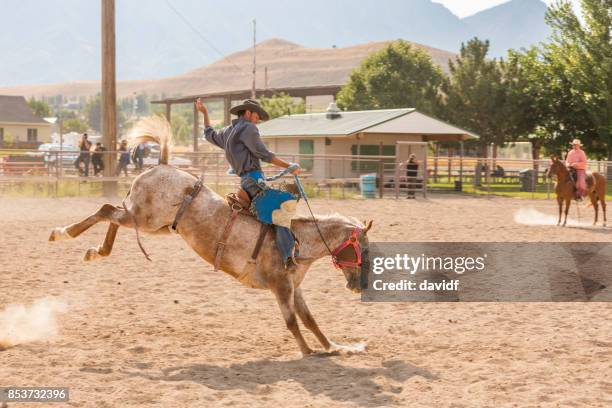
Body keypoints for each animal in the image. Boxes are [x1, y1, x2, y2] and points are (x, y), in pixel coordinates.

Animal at [49, 116, 372, 356]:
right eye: (363, 251)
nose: (359, 286)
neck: (298, 240)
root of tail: (162, 164)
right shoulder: (281, 286)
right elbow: (292, 321)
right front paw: (309, 351)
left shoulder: (295, 288)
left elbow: (310, 320)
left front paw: (338, 347)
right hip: (144, 218)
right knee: (106, 210)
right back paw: (63, 233)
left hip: (151, 223)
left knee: (113, 214)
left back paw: (95, 250)